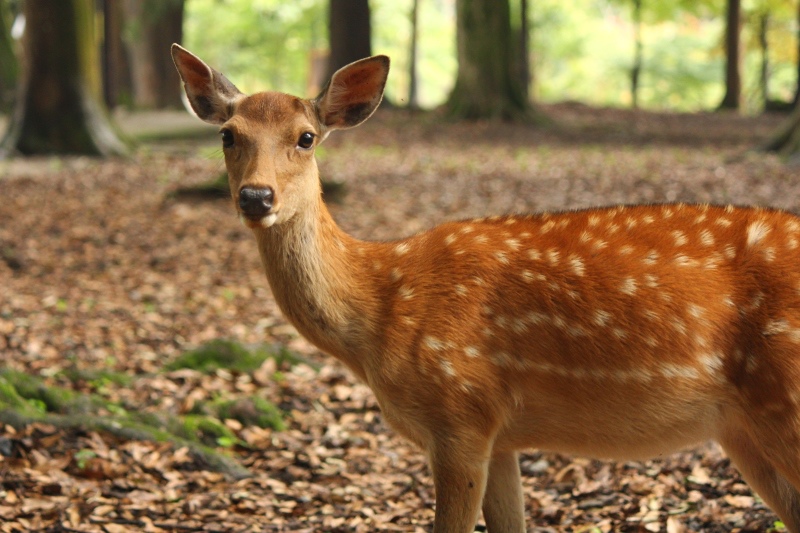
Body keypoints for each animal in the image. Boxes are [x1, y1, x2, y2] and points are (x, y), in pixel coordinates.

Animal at [170, 44, 800, 532]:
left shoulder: (460, 412)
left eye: (306, 137)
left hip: (785, 397)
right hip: (742, 430)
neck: (378, 312)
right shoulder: (501, 436)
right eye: (227, 135)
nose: (256, 197)